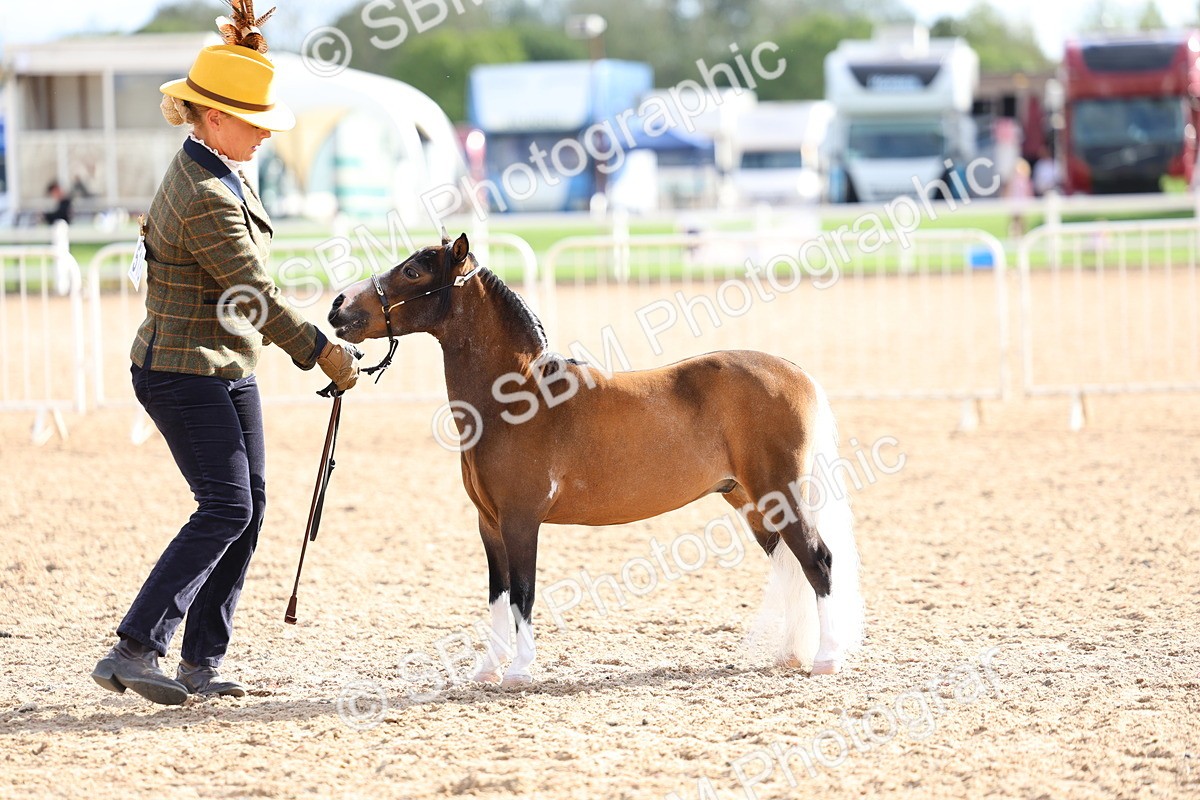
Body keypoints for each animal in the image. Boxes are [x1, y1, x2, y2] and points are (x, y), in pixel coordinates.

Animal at [328, 232, 863, 686]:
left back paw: (826, 659)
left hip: (780, 495)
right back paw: (791, 654)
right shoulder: (490, 524)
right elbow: (498, 594)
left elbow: (524, 593)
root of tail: (795, 373)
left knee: (818, 560)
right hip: (750, 502)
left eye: (414, 271)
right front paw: (488, 669)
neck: (517, 398)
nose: (338, 307)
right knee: (791, 566)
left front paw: (520, 670)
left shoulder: (521, 520)